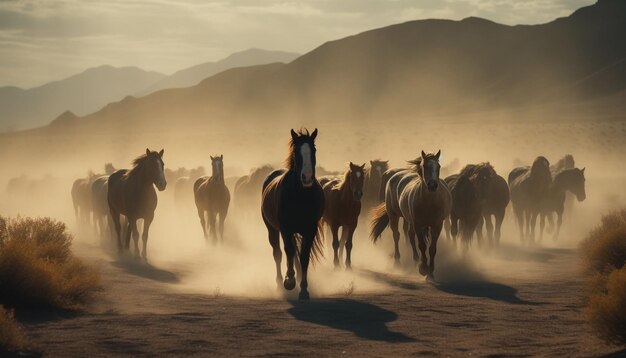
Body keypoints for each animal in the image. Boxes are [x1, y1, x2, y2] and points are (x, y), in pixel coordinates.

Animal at [260, 129, 324, 300]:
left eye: (314, 150)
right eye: (296, 151)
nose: (307, 177)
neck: (300, 196)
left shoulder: (310, 229)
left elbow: (304, 256)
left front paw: (304, 289)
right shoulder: (286, 229)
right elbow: (288, 251)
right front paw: (289, 281)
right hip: (272, 229)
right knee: (278, 253)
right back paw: (279, 284)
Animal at [368, 150, 450, 282]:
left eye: (438, 166)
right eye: (424, 166)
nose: (432, 185)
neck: (430, 203)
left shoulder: (437, 225)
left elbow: (432, 248)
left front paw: (430, 273)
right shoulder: (418, 224)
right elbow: (422, 245)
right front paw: (423, 269)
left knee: (410, 235)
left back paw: (416, 260)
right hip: (394, 216)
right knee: (396, 235)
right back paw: (397, 262)